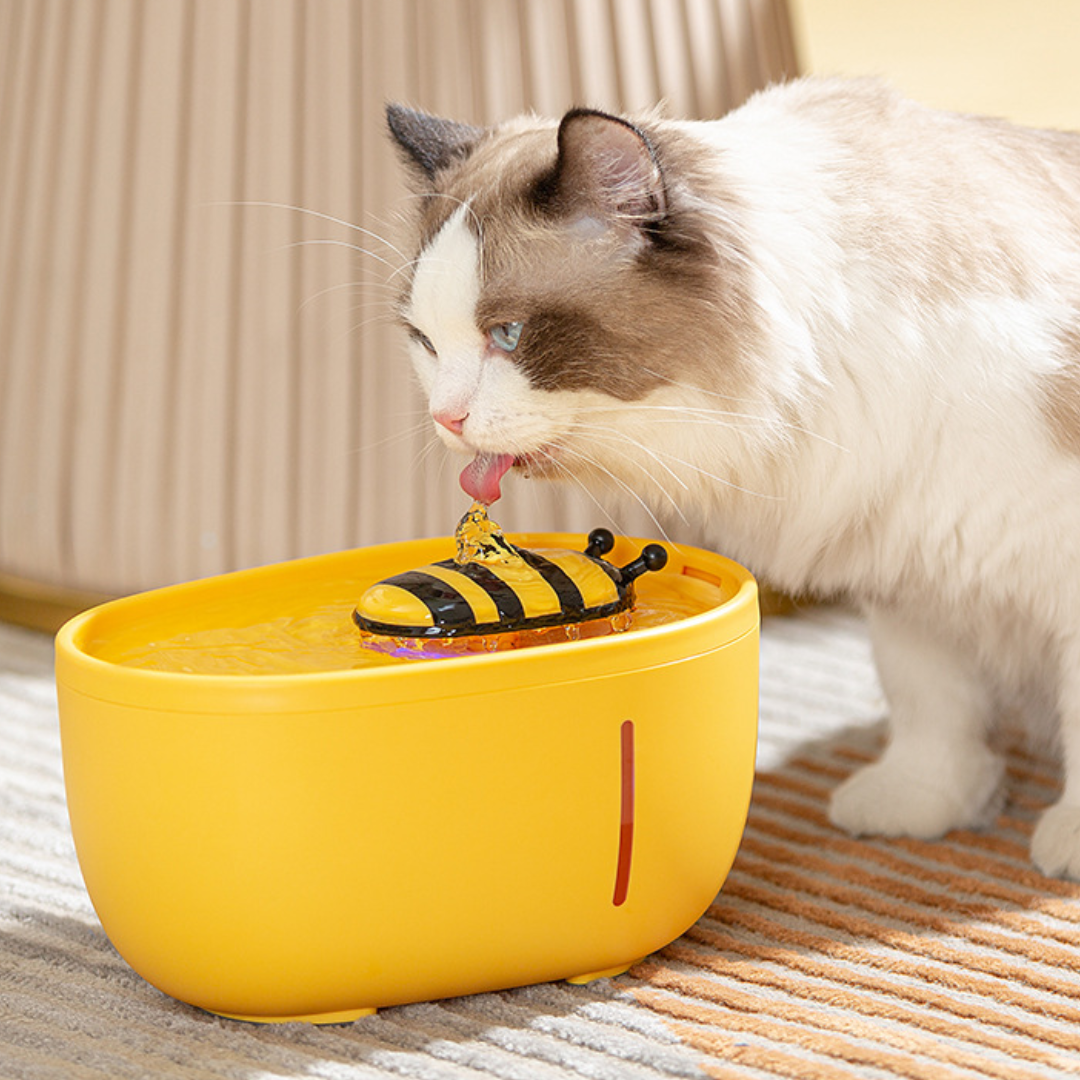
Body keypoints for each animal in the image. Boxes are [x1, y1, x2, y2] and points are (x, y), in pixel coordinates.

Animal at [386, 79, 1080, 881]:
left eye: (509, 335)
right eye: (425, 343)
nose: (445, 418)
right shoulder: (912, 562)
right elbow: (931, 704)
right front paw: (921, 805)